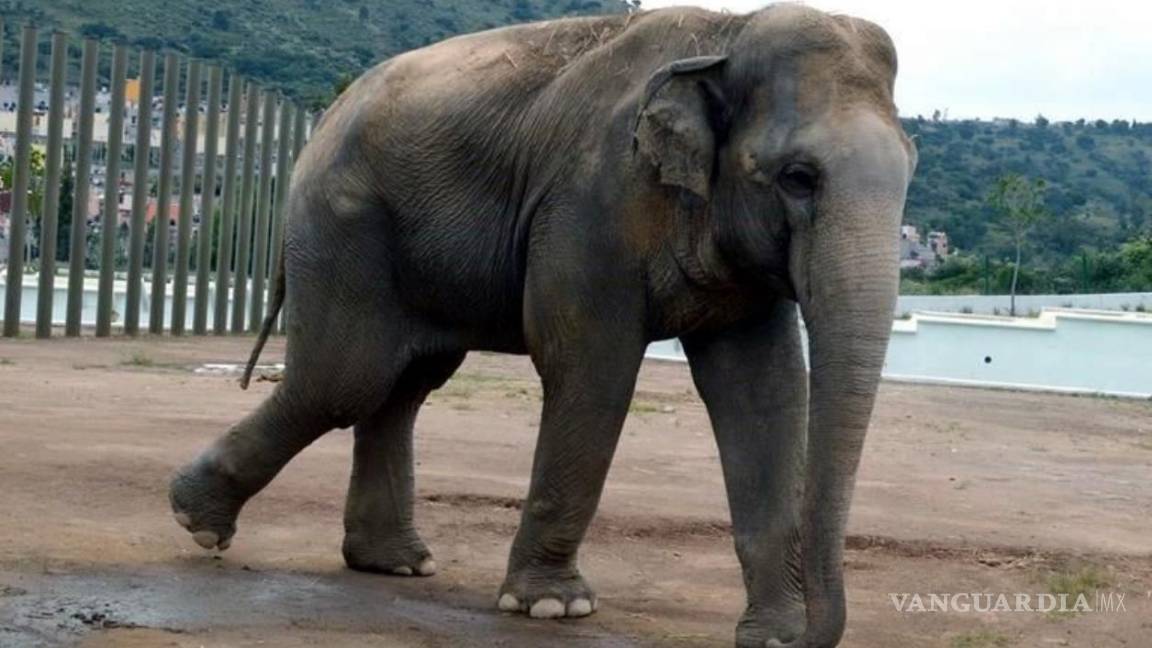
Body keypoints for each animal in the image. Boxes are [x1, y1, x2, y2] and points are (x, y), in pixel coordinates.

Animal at [169, 4, 916, 647]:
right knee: (345, 381)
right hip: (342, 228)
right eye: (799, 177)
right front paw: (552, 607)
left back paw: (395, 564)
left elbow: (764, 393)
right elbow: (591, 368)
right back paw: (196, 520)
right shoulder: (589, 201)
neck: (727, 33)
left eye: (910, 170)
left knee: (404, 387)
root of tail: (323, 121)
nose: (810, 635)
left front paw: (773, 636)